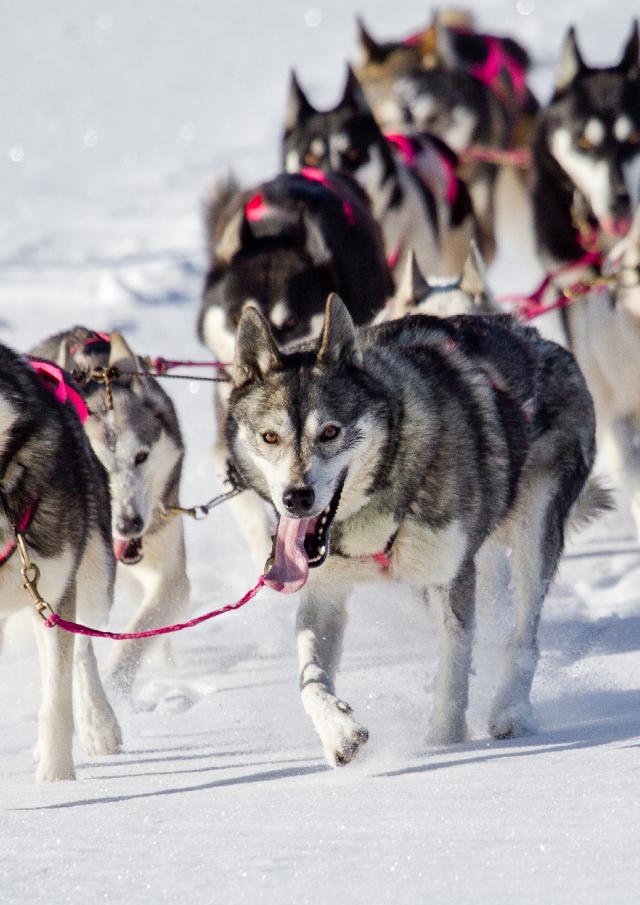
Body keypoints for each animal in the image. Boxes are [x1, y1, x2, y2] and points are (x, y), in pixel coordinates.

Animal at [0, 342, 121, 780]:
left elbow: (56, 698)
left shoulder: (53, 589)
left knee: (82, 648)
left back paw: (99, 725)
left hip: (92, 575)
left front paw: (57, 781)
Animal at [31, 328, 190, 696]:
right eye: (95, 463)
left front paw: (118, 686)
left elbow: (136, 635)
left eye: (141, 457)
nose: (129, 524)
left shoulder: (171, 575)